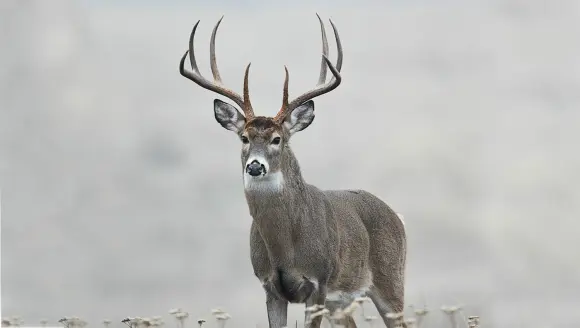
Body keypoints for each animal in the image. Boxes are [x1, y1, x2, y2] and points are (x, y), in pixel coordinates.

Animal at [178, 14, 408, 328]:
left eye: (277, 139)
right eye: (244, 138)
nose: (255, 165)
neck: (285, 249)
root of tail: (396, 216)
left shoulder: (319, 282)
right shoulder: (270, 287)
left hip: (390, 280)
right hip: (341, 302)